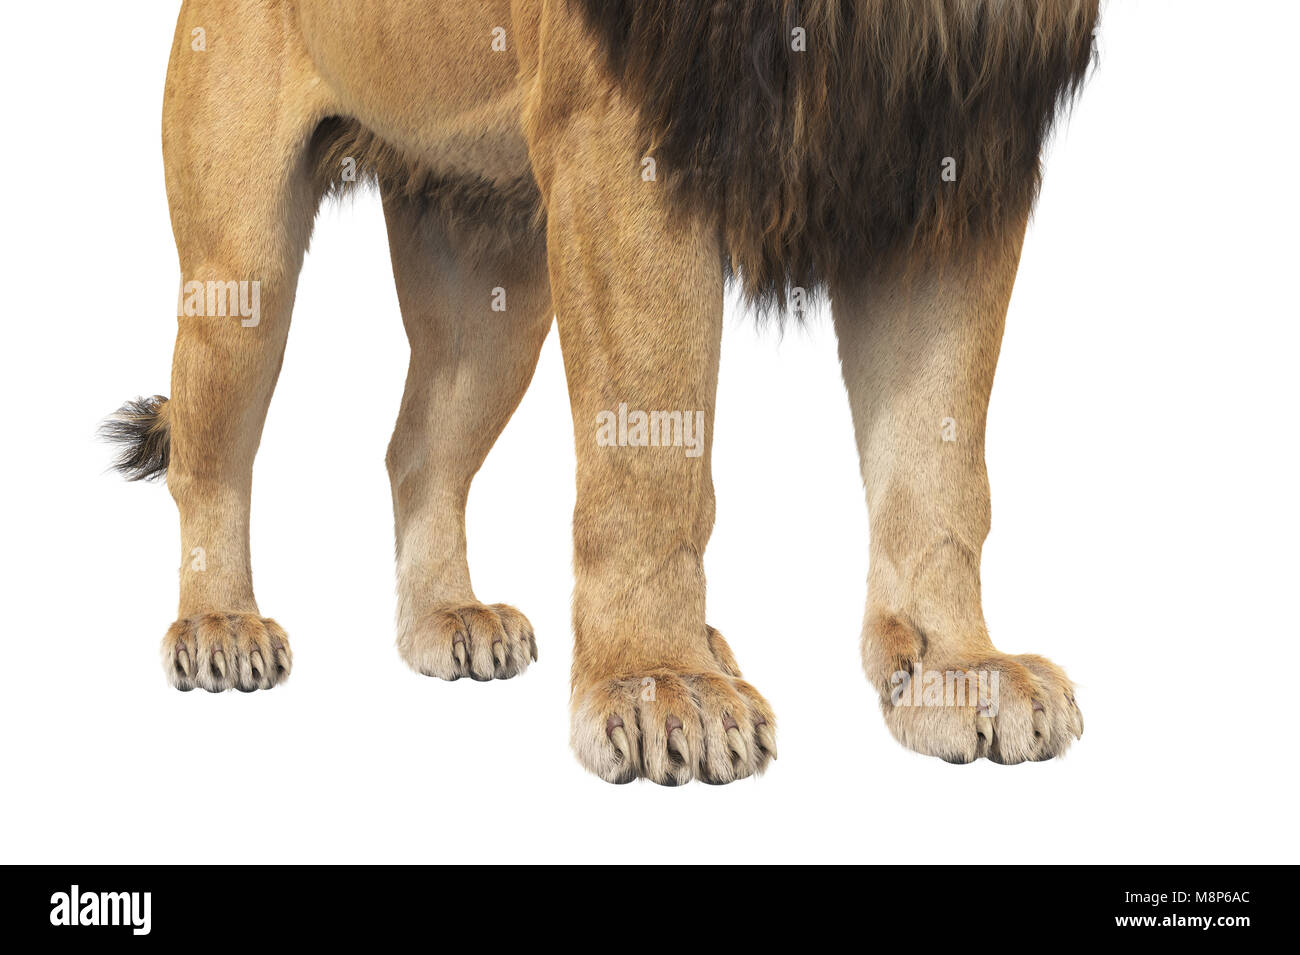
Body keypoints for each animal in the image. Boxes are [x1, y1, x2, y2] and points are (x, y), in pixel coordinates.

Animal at [104, 0, 1096, 783]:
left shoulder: (958, 136)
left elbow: (939, 461)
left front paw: (958, 669)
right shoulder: (622, 127)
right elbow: (650, 451)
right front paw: (664, 685)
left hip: (493, 275)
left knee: (417, 450)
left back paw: (451, 617)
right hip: (242, 269)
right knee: (209, 457)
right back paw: (220, 625)